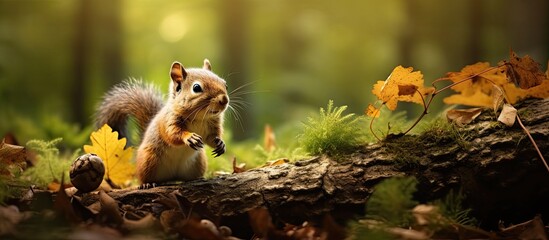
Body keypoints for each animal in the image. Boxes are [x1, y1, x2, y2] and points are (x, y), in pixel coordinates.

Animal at [95, 59, 228, 184]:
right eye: (196, 88)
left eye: (225, 84)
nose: (224, 100)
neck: (200, 117)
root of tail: (172, 177)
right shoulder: (169, 120)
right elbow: (172, 134)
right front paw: (189, 137)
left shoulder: (212, 126)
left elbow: (211, 137)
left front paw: (220, 143)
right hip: (148, 161)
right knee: (143, 177)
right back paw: (147, 184)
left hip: (198, 162)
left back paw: (196, 178)